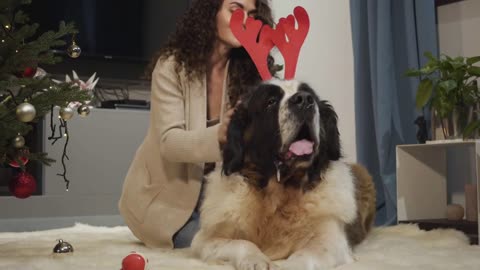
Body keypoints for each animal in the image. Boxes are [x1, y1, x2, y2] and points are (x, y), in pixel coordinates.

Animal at [190, 79, 376, 270]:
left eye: (312, 97)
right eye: (271, 101)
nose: (304, 100)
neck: (280, 191)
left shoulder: (329, 240)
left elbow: (304, 254)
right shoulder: (206, 239)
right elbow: (241, 243)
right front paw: (255, 260)